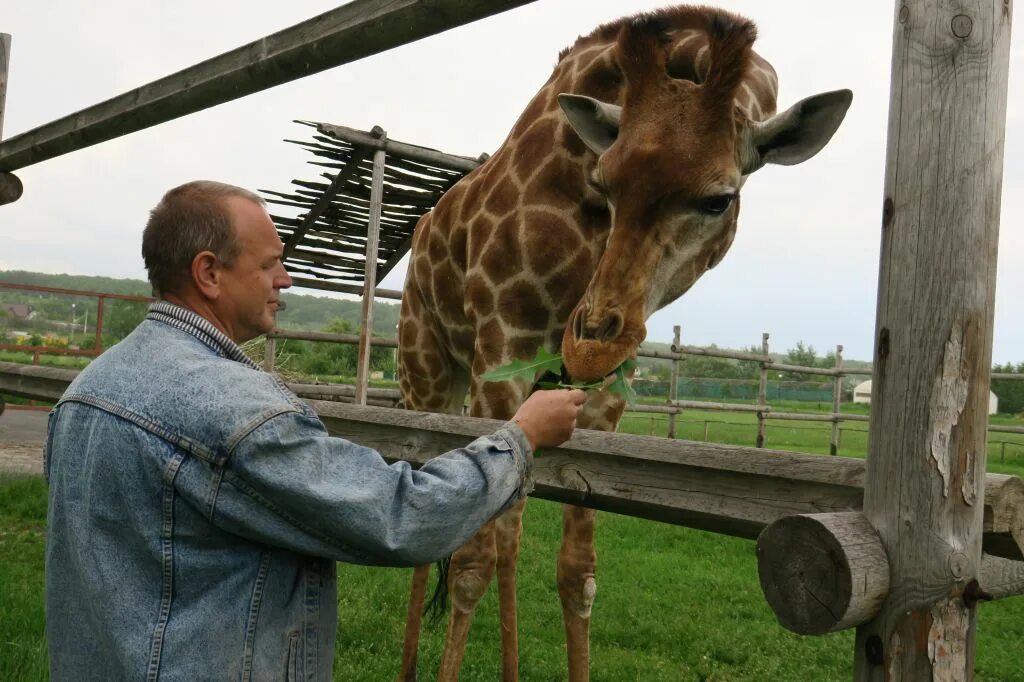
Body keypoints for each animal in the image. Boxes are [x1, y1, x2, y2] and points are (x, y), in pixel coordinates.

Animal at [395, 6, 851, 679]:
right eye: (607, 182)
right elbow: (473, 562)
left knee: (508, 526)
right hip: (427, 366)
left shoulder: (604, 399)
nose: (588, 345)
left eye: (720, 199)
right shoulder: (501, 351)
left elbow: (577, 572)